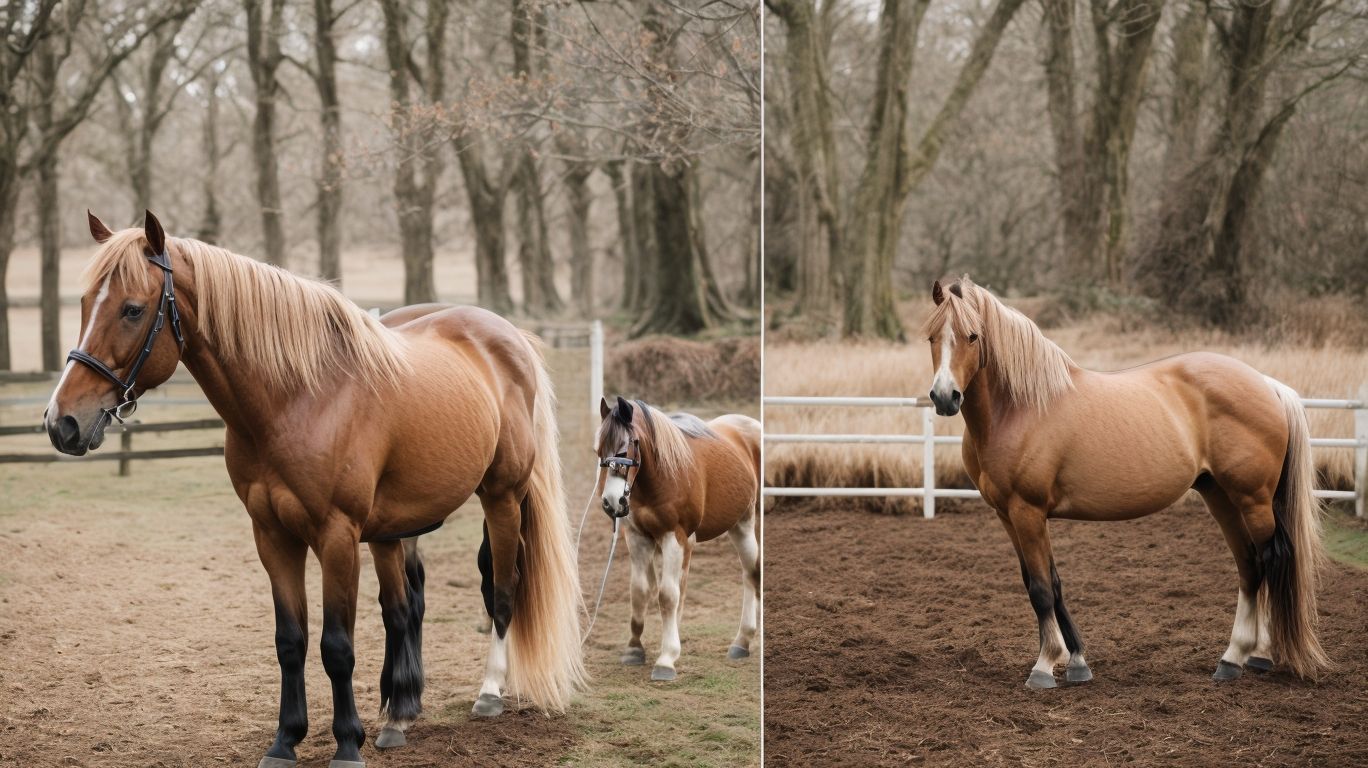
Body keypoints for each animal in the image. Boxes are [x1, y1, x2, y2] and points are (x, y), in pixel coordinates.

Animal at [45, 211, 586, 768]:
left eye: (132, 309)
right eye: (84, 302)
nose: (62, 422)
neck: (299, 398)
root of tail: (508, 334)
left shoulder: (336, 538)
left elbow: (336, 646)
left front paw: (346, 743)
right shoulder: (272, 536)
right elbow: (292, 640)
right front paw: (286, 740)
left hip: (501, 497)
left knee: (501, 590)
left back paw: (489, 693)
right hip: (397, 528)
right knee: (403, 608)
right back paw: (399, 714)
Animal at [593, 396, 761, 681]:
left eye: (625, 450)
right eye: (599, 451)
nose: (611, 502)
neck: (660, 478)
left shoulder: (674, 536)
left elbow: (668, 596)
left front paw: (666, 659)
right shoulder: (638, 537)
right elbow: (639, 591)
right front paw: (634, 649)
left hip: (745, 526)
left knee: (751, 574)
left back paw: (742, 641)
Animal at [922, 276, 1328, 689]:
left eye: (973, 336)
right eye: (932, 336)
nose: (944, 397)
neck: (1020, 408)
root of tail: (1266, 383)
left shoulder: (1028, 511)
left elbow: (1040, 589)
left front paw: (1044, 665)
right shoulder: (1008, 515)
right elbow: (1050, 583)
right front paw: (1077, 662)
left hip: (1253, 500)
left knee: (1272, 560)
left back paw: (1257, 655)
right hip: (1222, 498)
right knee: (1250, 566)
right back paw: (1235, 658)